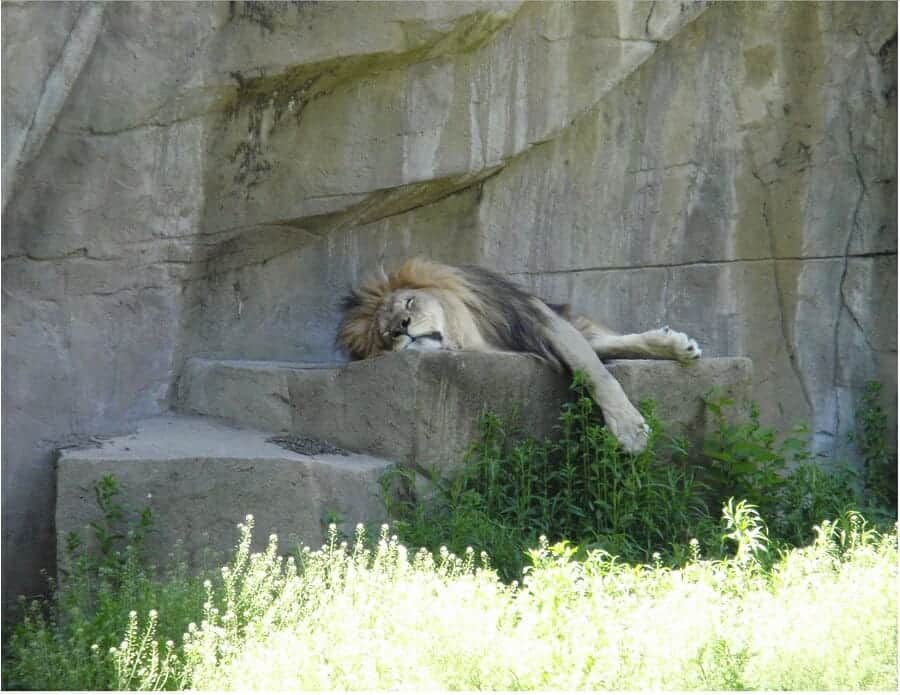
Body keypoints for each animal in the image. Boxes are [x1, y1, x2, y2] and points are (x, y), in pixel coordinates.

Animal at [337, 258, 701, 453]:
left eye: (409, 302)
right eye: (385, 335)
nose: (402, 327)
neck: (474, 338)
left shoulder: (541, 323)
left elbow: (597, 373)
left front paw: (630, 431)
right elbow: (594, 360)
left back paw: (677, 346)